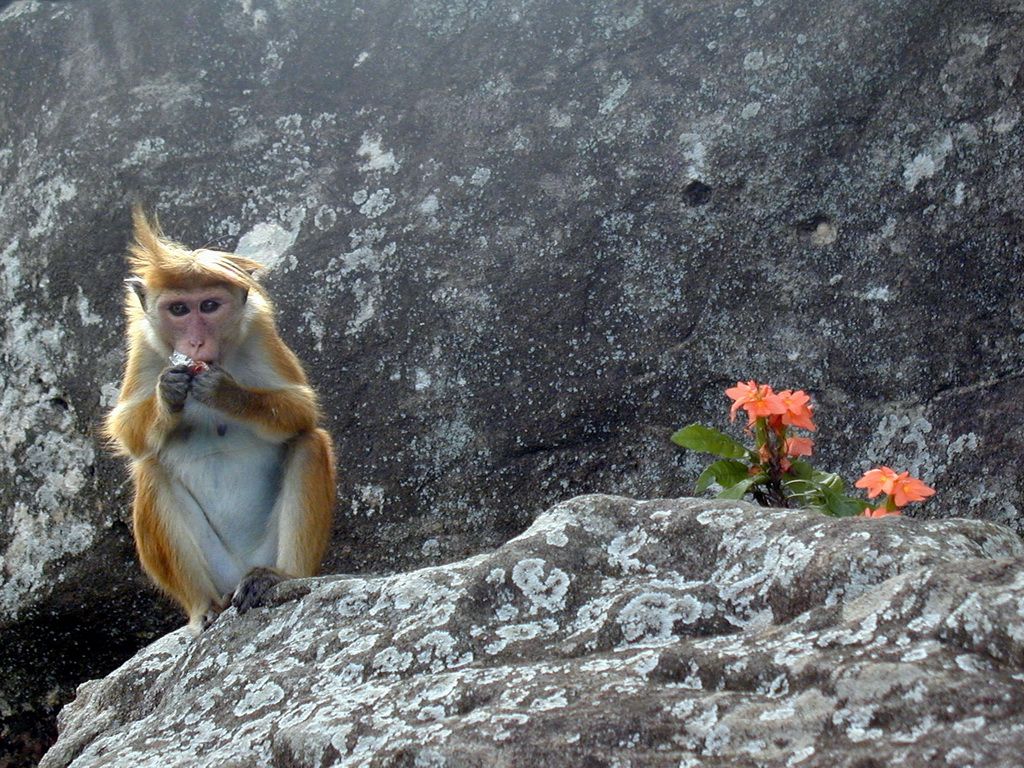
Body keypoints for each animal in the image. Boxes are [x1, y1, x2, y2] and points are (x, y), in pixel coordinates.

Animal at [104, 207, 336, 633]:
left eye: (209, 306)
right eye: (179, 309)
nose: (196, 343)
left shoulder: (259, 330)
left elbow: (301, 408)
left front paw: (226, 393)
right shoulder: (144, 342)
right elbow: (126, 429)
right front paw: (167, 395)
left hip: (264, 551)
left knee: (309, 442)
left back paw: (280, 577)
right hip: (215, 569)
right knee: (150, 470)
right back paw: (204, 606)